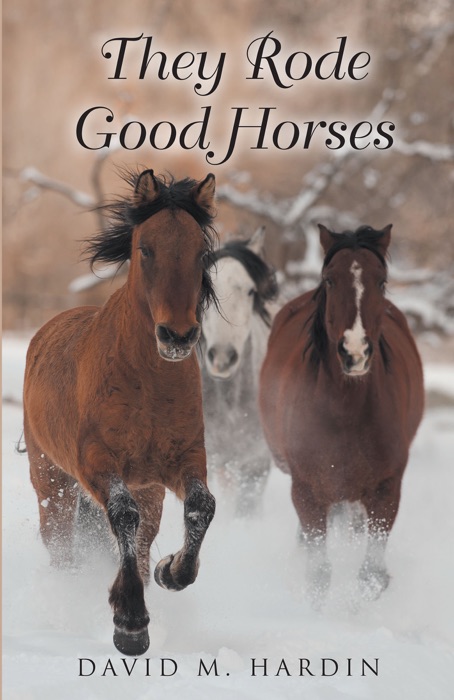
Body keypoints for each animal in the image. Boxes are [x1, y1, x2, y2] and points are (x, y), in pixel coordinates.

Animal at [23, 168, 218, 656]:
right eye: (145, 248)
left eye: (201, 252)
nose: (177, 336)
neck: (149, 383)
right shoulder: (96, 463)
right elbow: (122, 515)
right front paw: (129, 623)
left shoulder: (183, 460)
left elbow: (201, 507)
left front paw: (172, 572)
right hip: (53, 482)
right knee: (63, 546)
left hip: (149, 490)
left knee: (142, 542)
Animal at [259, 224, 424, 604]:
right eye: (330, 280)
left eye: (381, 281)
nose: (355, 352)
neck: (345, 412)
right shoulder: (306, 492)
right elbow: (318, 574)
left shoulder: (386, 491)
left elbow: (371, 577)